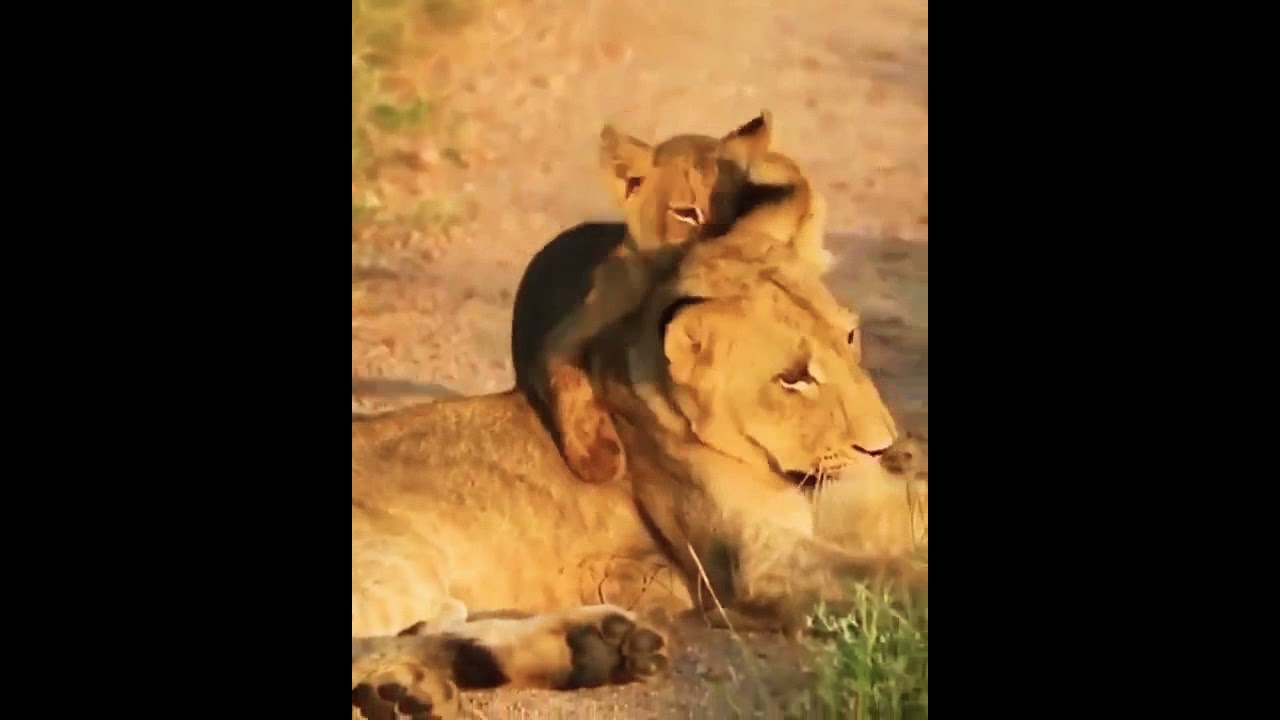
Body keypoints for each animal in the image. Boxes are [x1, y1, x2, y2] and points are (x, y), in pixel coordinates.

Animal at [352, 227, 924, 718]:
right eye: (792, 378)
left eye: (850, 336)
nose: (882, 446)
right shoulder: (757, 564)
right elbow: (888, 574)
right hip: (403, 561)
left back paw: (593, 649)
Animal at [514, 112, 837, 487]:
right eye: (686, 213)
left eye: (741, 204)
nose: (726, 244)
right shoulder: (566, 333)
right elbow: (567, 379)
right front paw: (600, 459)